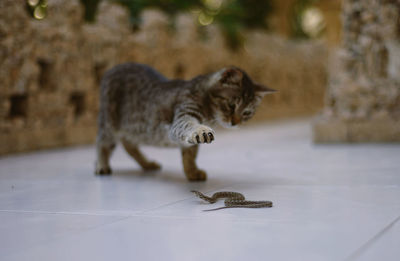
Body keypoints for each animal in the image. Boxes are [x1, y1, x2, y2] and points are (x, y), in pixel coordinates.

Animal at [94, 63, 276, 181]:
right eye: (231, 105)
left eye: (247, 113)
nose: (235, 123)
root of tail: (113, 68)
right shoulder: (183, 116)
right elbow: (189, 127)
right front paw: (201, 130)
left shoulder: (188, 143)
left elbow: (189, 155)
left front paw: (192, 172)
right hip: (109, 122)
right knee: (103, 144)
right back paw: (101, 165)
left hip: (133, 130)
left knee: (129, 145)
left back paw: (147, 164)